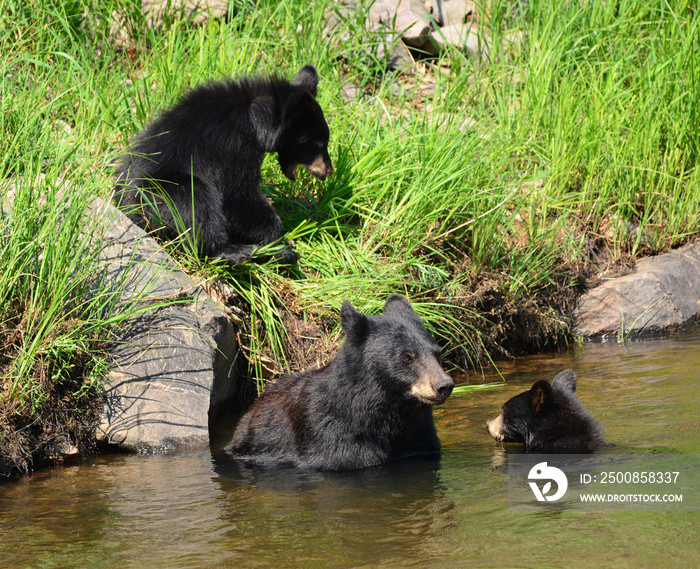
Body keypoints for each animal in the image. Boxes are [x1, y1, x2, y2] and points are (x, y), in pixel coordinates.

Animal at [115, 63, 334, 264]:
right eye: (317, 144)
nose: (328, 171)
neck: (256, 118)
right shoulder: (233, 146)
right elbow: (238, 196)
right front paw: (282, 248)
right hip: (155, 193)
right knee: (194, 204)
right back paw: (232, 252)